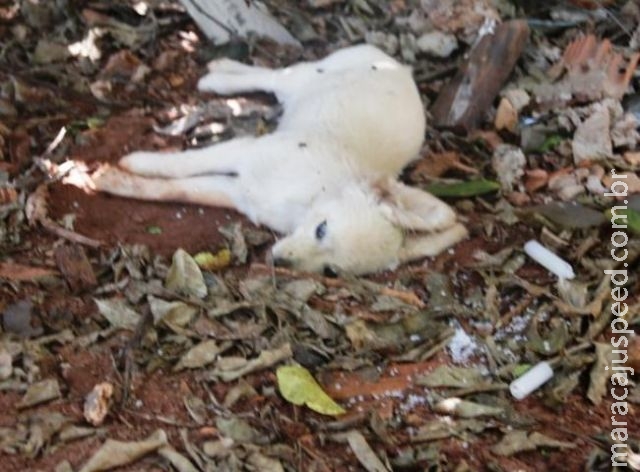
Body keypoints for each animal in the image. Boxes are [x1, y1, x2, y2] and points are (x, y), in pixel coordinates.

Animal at [94, 45, 464, 272]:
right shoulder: (243, 151)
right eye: (321, 229)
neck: (307, 196)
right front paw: (134, 163)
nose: (281, 263)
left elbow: (177, 190)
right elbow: (181, 164)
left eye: (330, 271)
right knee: (274, 76)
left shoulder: (237, 193)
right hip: (307, 76)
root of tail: (399, 66)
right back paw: (219, 76)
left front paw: (117, 182)